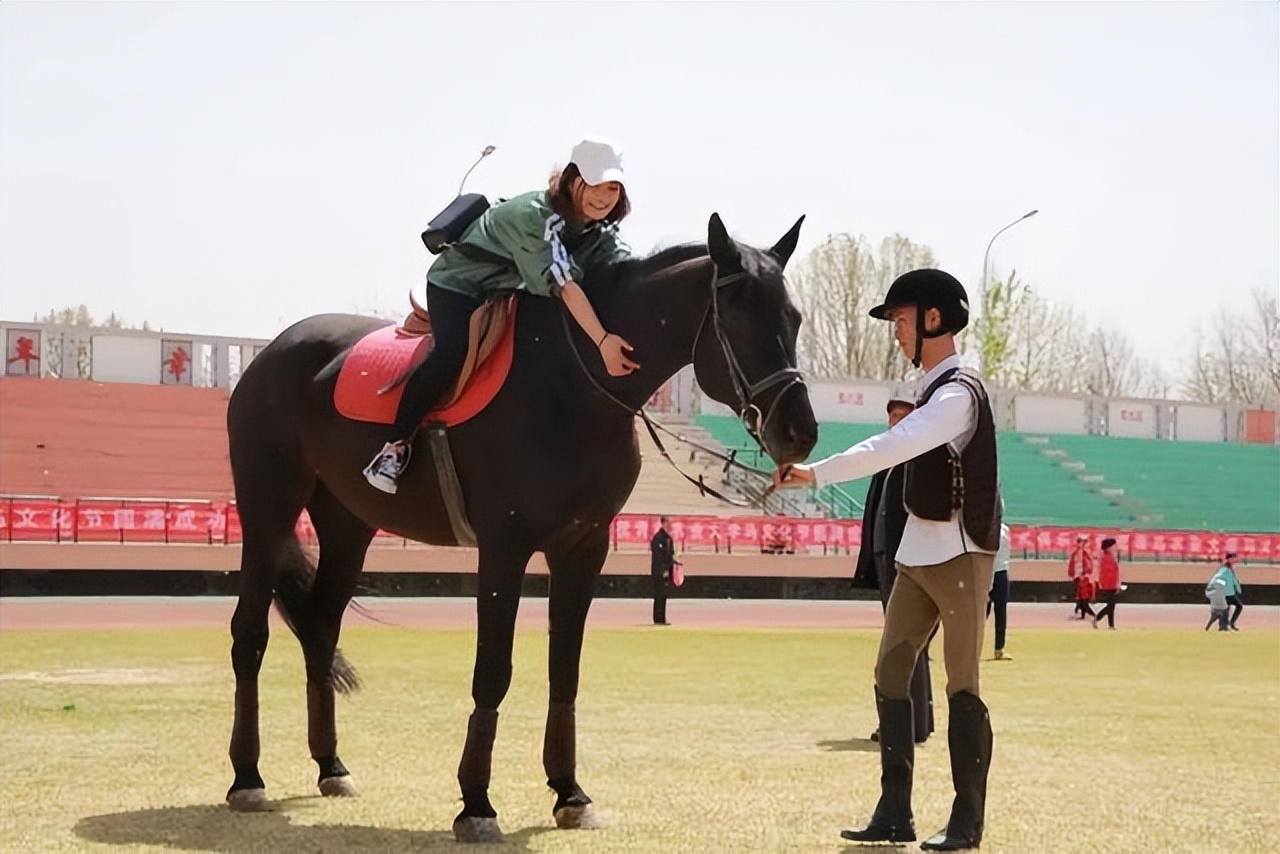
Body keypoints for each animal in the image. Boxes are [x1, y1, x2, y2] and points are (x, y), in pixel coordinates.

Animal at [224, 213, 814, 839]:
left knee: (320, 630)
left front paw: (569, 791)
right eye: (739, 315)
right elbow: (493, 670)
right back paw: (247, 777)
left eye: (794, 318)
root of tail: (271, 353)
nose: (801, 432)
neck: (571, 385)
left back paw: (331, 765)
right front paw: (476, 801)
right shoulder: (504, 548)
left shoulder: (583, 547)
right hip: (267, 512)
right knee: (250, 636)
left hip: (347, 525)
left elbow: (565, 671)